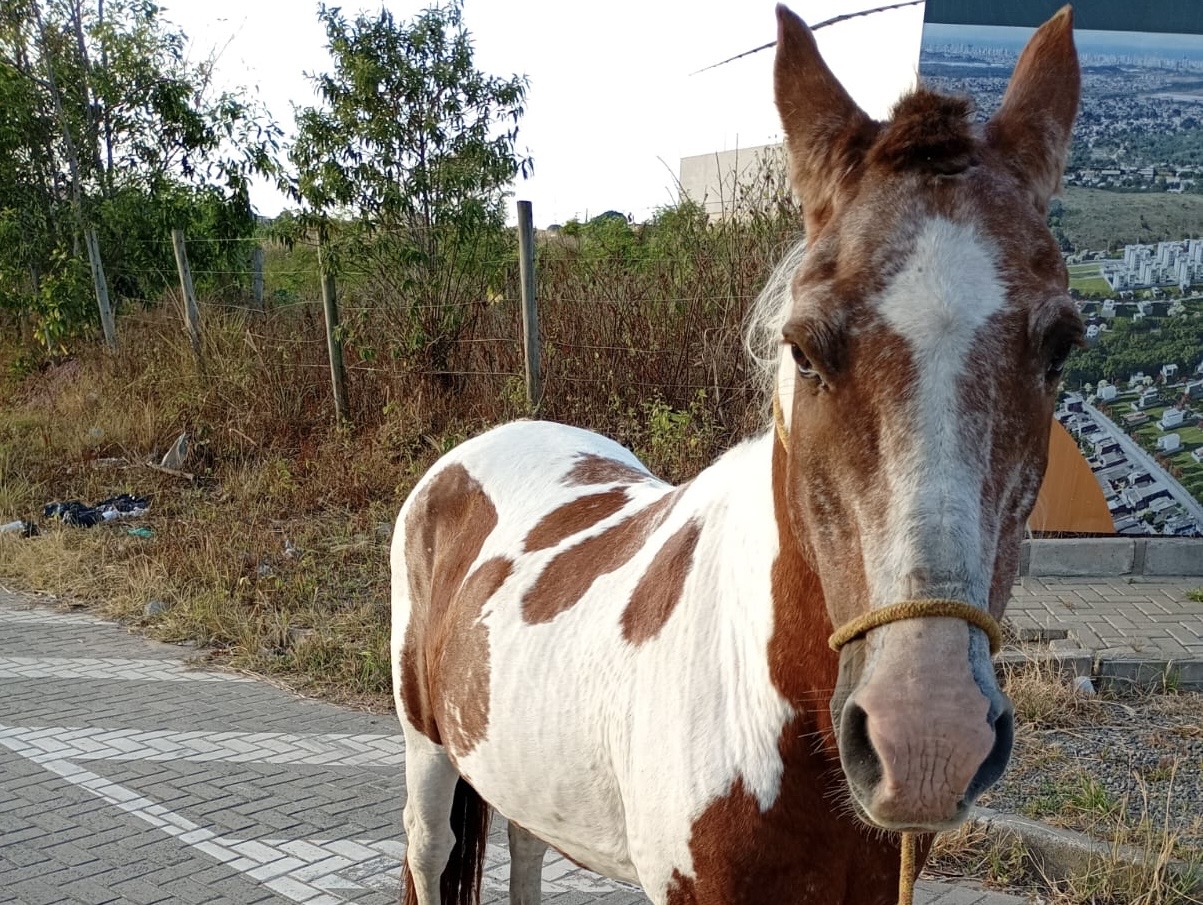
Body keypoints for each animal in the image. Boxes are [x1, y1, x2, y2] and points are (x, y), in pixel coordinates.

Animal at [390, 5, 1082, 904]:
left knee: (528, 850)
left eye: (1060, 347)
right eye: (803, 349)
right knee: (429, 849)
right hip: (427, 753)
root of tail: (472, 452)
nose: (927, 738)